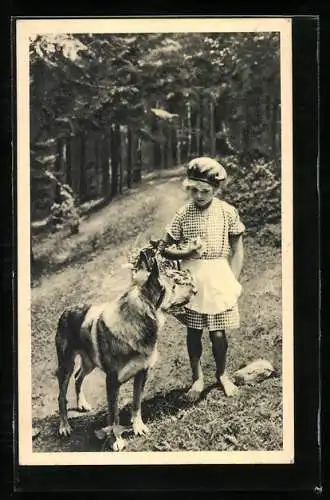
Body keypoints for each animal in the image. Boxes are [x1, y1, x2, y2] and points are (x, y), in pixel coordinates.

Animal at [54, 244, 196, 452]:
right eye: (174, 286)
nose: (195, 289)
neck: (136, 322)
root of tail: (65, 311)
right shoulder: (112, 382)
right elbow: (113, 416)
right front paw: (117, 440)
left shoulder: (142, 373)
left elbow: (136, 404)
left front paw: (138, 427)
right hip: (66, 366)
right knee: (61, 396)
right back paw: (64, 426)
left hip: (89, 362)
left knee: (78, 377)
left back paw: (82, 404)